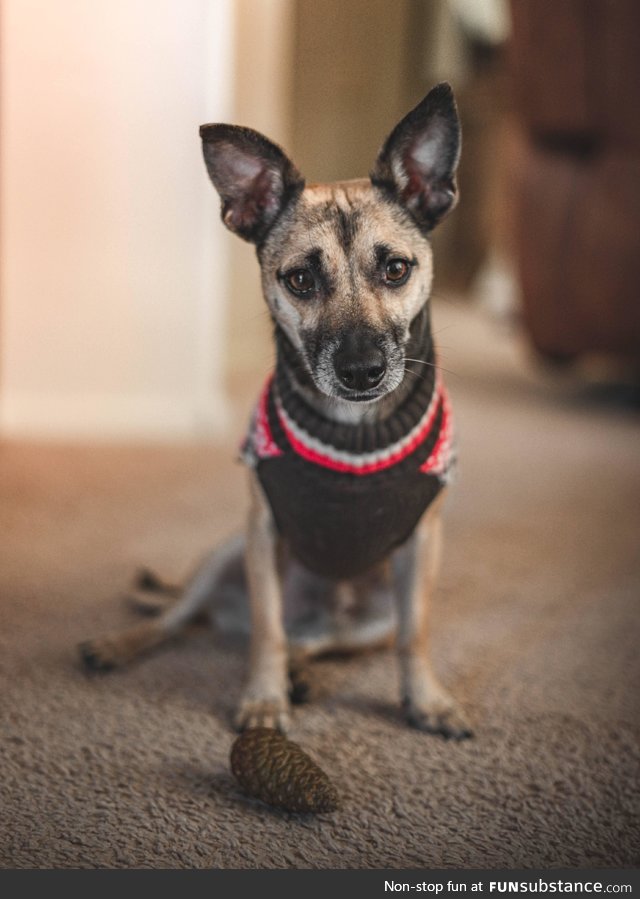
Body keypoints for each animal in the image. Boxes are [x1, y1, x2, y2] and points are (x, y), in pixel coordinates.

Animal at [80, 82, 470, 740]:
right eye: (300, 280)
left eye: (396, 269)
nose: (362, 370)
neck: (354, 430)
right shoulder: (263, 534)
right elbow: (267, 632)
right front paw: (263, 700)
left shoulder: (422, 546)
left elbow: (414, 636)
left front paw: (428, 700)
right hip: (225, 555)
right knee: (182, 618)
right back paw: (119, 645)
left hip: (373, 610)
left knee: (310, 641)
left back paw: (304, 672)